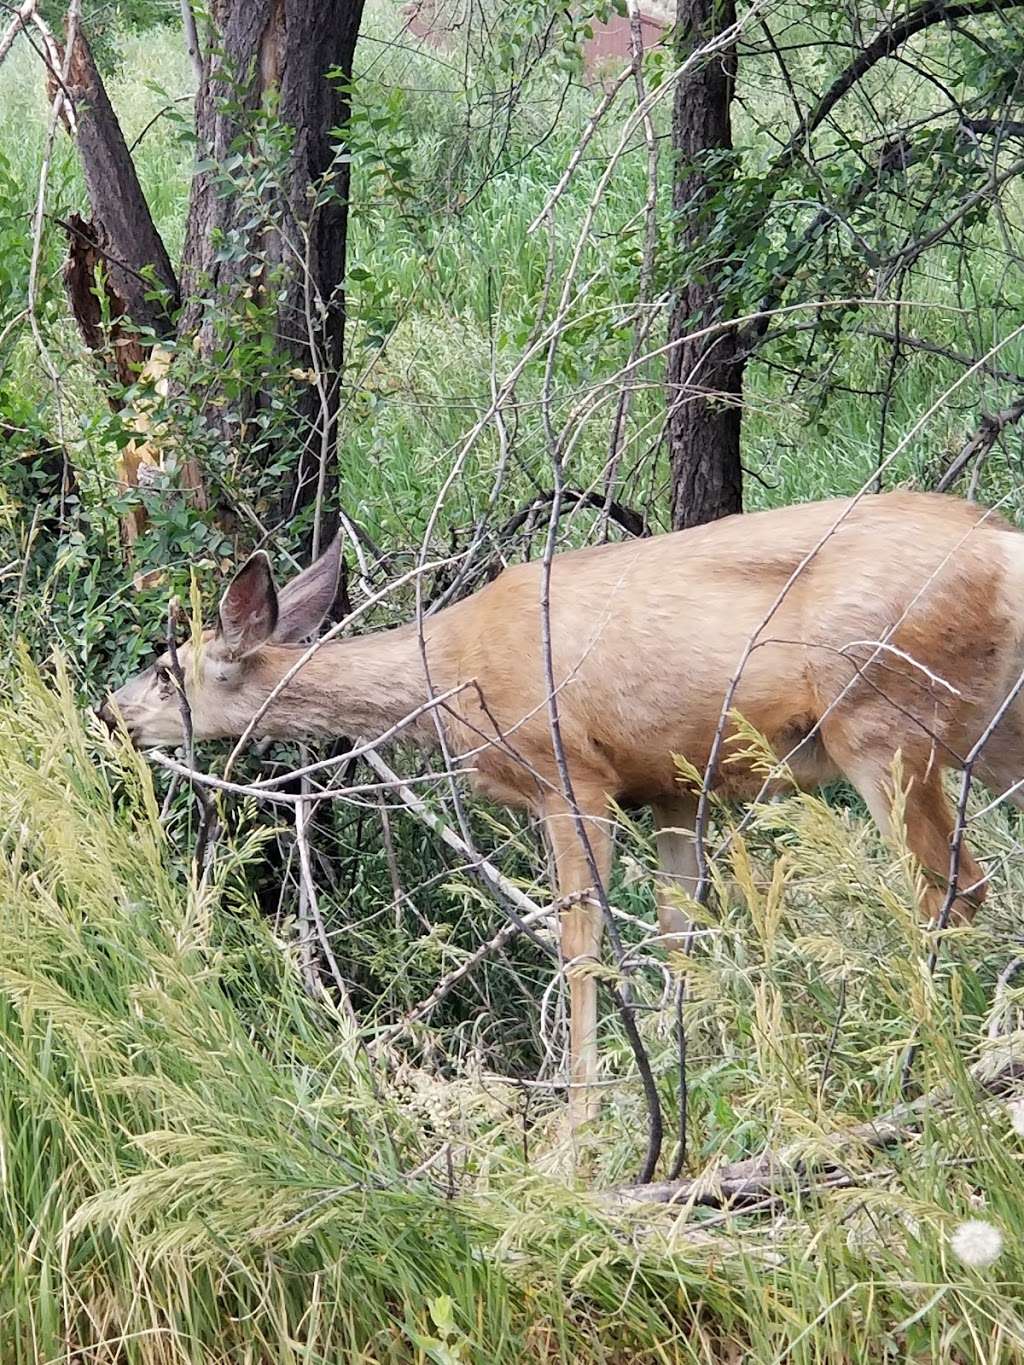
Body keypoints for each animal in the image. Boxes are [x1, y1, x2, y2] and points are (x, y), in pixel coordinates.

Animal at [102, 496, 1024, 1124]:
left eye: (166, 670)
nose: (109, 713)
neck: (449, 670)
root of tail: (1001, 546)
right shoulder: (674, 786)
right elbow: (679, 936)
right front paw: (688, 1080)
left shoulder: (571, 777)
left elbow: (581, 949)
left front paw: (577, 1120)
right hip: (986, 735)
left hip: (878, 720)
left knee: (951, 888)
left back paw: (923, 1067)